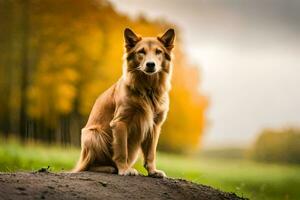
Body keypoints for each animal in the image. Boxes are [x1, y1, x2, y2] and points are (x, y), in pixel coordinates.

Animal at [72, 28, 175, 178]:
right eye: (141, 51)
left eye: (158, 52)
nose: (151, 64)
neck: (147, 89)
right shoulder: (120, 122)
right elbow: (121, 150)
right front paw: (124, 169)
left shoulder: (155, 126)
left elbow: (151, 154)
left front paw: (152, 171)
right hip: (93, 134)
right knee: (89, 166)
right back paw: (109, 168)